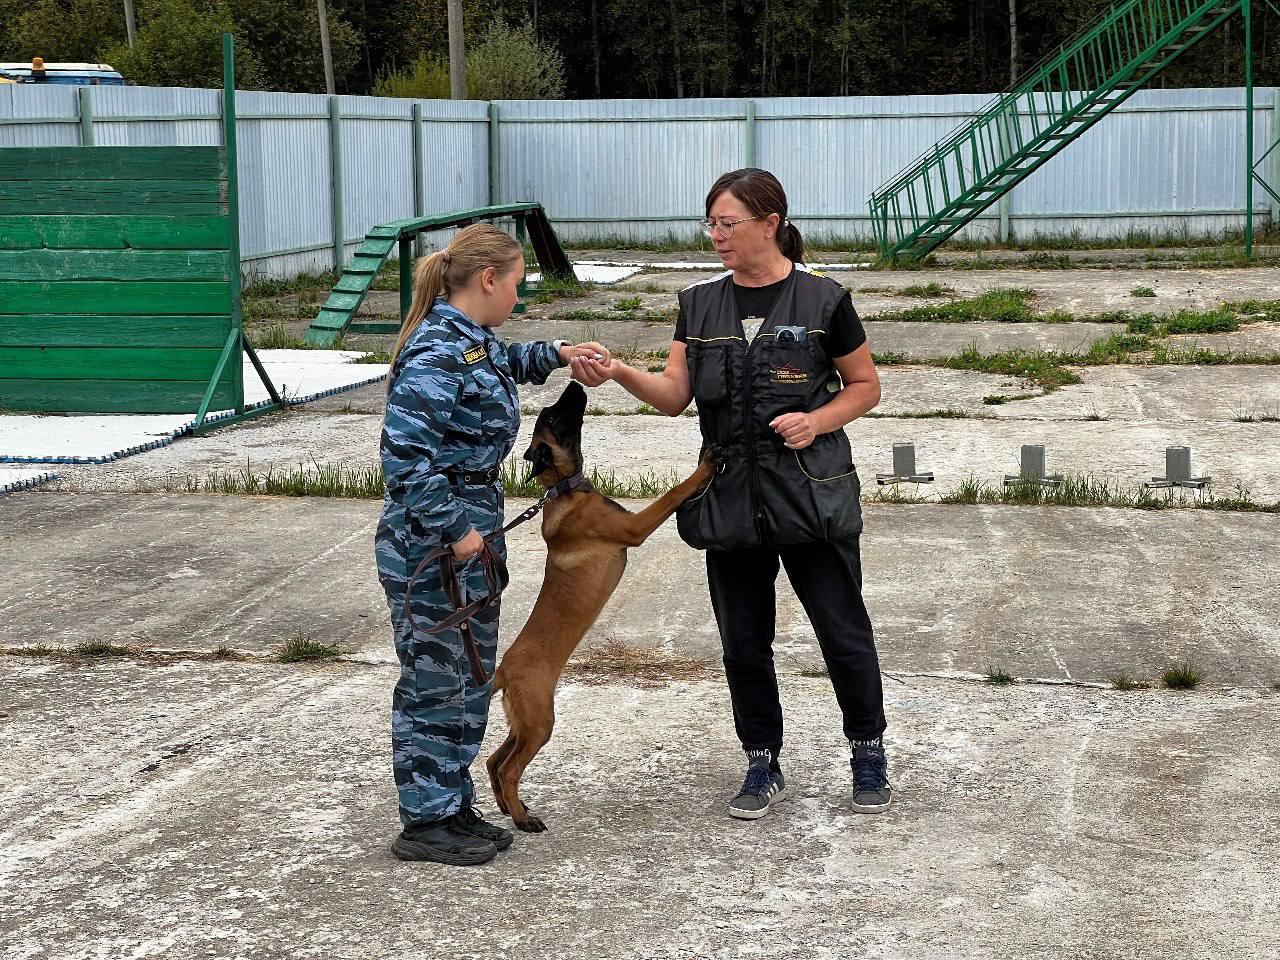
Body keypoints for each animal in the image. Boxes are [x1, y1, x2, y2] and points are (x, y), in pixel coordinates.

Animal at [486, 378, 716, 829]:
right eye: (553, 416)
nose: (575, 382)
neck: (563, 490)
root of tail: (503, 671)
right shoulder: (635, 527)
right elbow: (674, 493)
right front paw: (706, 465)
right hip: (539, 721)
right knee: (508, 768)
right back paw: (522, 818)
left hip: (523, 722)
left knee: (493, 760)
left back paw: (509, 806)